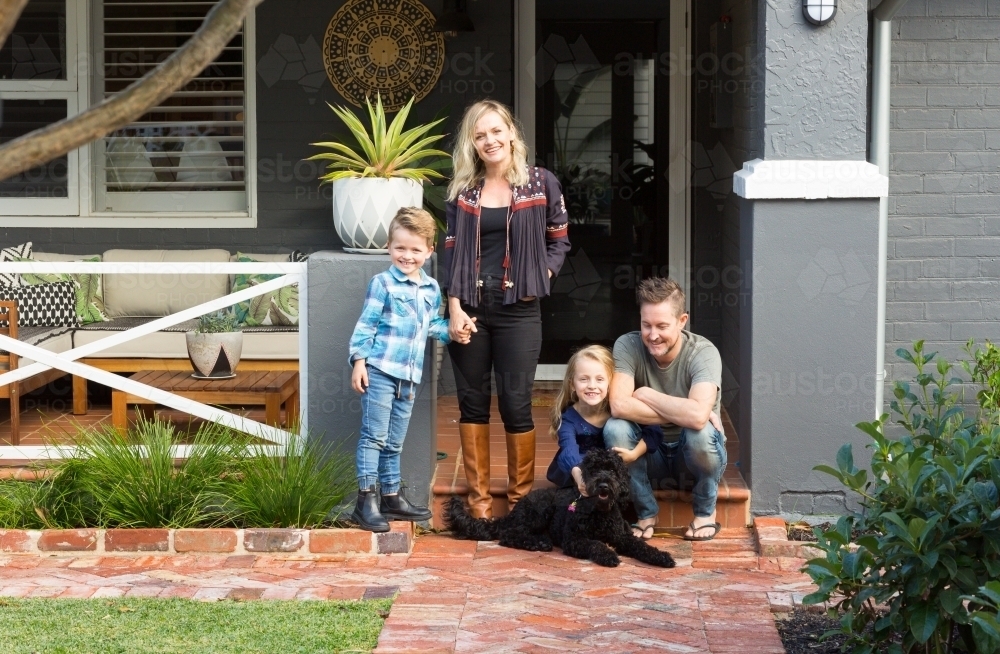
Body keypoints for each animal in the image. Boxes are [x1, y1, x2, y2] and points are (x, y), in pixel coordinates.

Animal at [448, 452, 676, 568]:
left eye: (612, 470)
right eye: (593, 469)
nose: (603, 485)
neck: (599, 513)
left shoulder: (622, 537)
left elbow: (642, 546)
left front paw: (661, 557)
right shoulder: (574, 540)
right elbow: (595, 544)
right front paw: (608, 555)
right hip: (540, 511)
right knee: (508, 535)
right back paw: (537, 542)